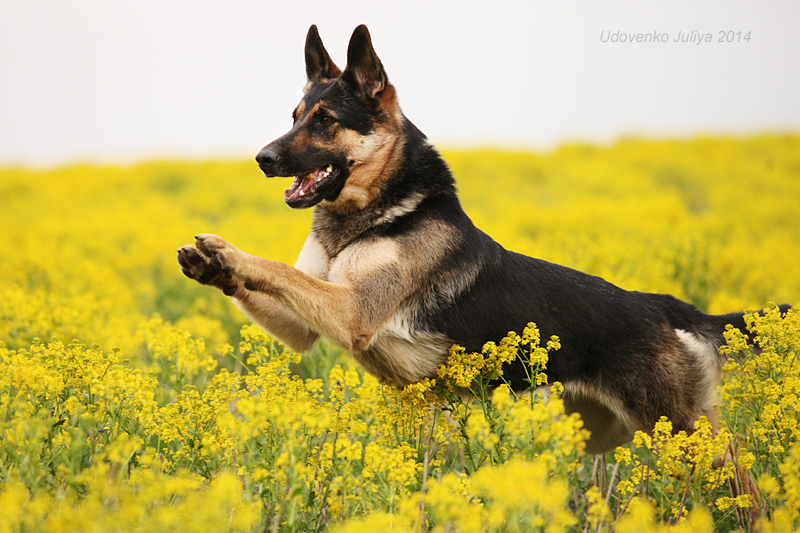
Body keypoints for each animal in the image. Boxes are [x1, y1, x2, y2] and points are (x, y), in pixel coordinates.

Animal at [177, 23, 788, 448]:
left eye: (325, 120)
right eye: (295, 115)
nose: (262, 158)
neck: (373, 215)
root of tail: (665, 307)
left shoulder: (353, 312)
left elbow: (275, 269)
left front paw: (226, 250)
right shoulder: (307, 326)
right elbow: (271, 284)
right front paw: (213, 265)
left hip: (682, 433)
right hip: (610, 442)